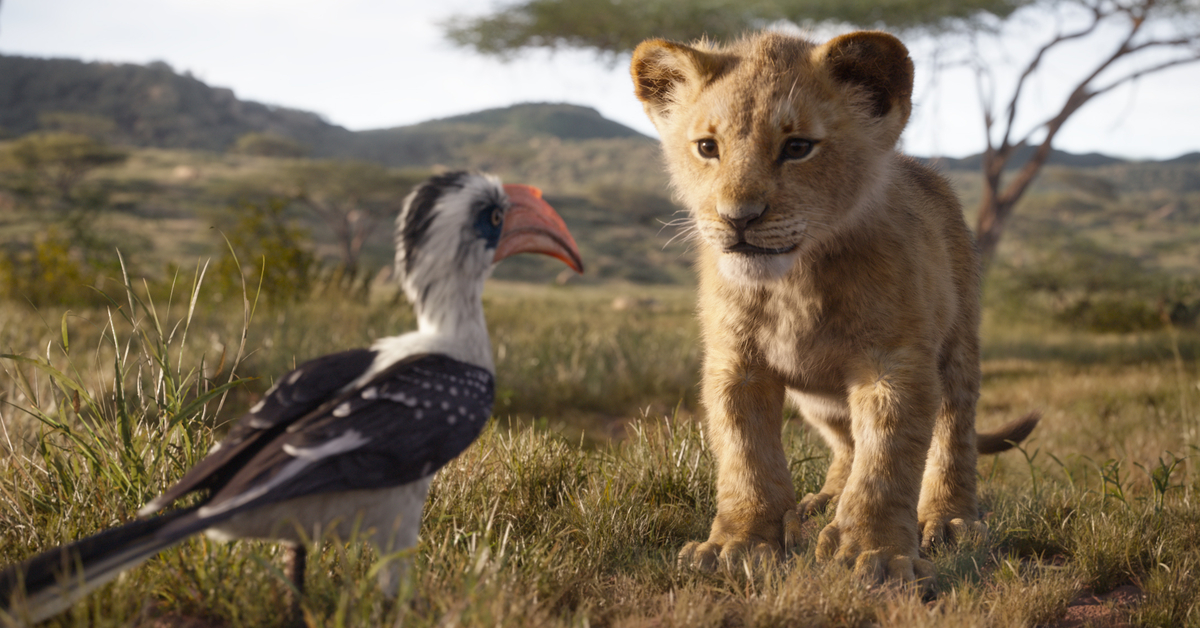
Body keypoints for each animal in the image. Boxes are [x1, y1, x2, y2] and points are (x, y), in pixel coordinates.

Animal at [630, 30, 1038, 592]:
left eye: (797, 147)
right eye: (707, 148)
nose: (738, 219)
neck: (795, 281)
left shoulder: (894, 363)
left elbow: (887, 461)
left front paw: (875, 554)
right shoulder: (736, 364)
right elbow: (745, 455)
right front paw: (740, 544)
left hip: (958, 347)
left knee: (953, 432)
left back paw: (949, 519)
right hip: (818, 399)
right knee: (846, 444)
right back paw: (822, 503)